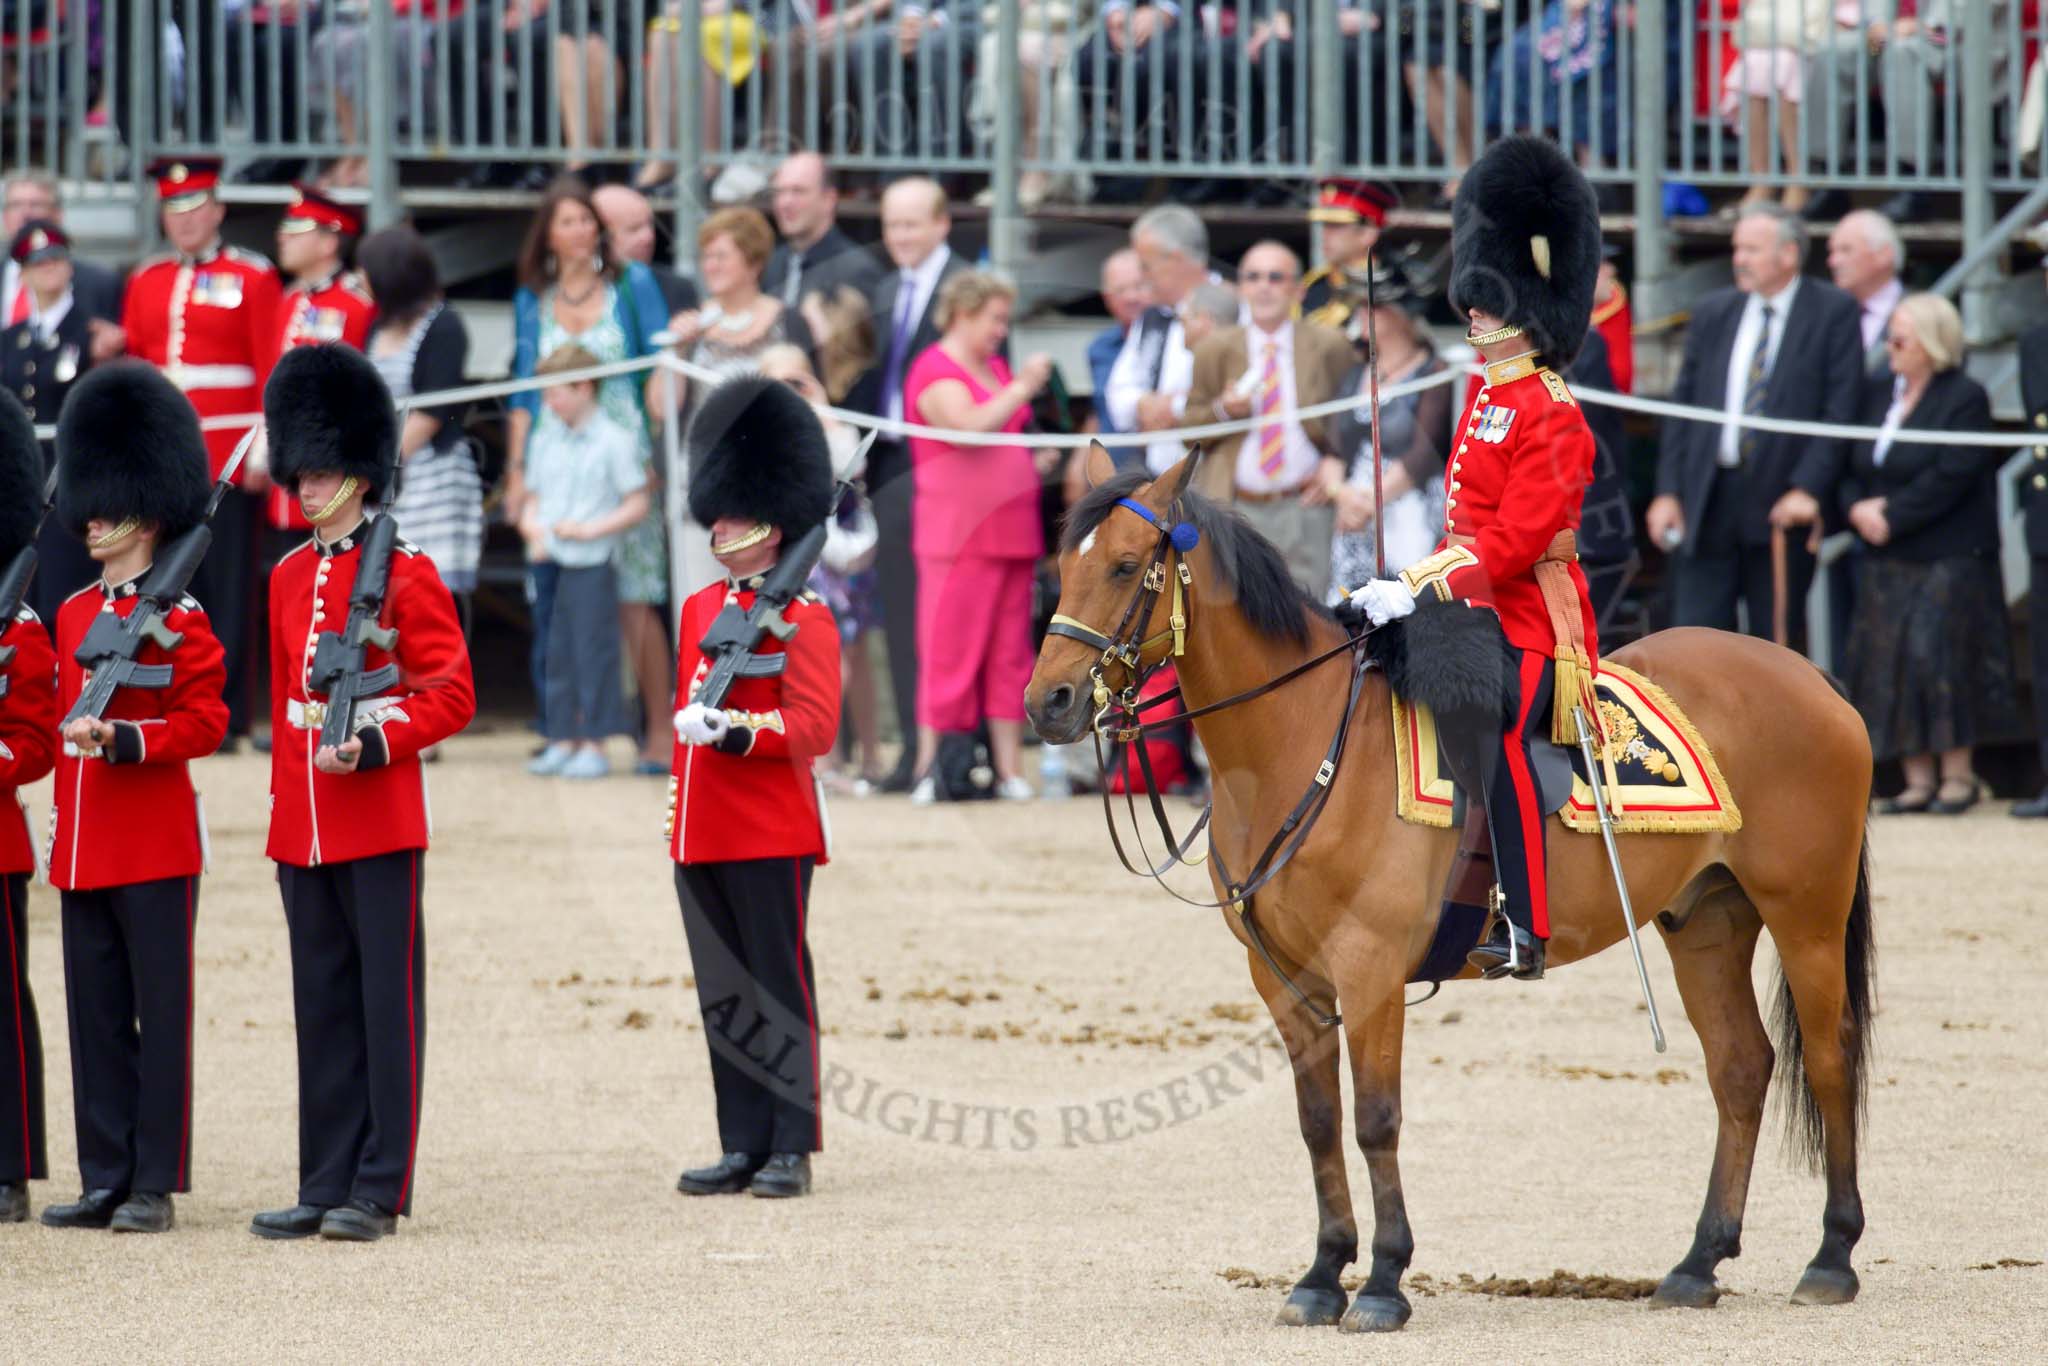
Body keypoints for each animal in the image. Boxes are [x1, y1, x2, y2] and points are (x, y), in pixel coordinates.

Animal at [1024, 448, 1875, 1335]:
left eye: (1126, 567)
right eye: (1063, 565)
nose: (1047, 702)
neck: (1299, 737)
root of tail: (1807, 672)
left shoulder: (1368, 969)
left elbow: (1376, 1119)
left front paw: (1383, 1281)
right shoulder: (1285, 978)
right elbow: (1319, 1122)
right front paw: (1322, 1274)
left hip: (1807, 918)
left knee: (1829, 1057)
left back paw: (1831, 1255)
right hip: (1707, 921)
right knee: (1741, 1068)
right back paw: (1698, 1263)